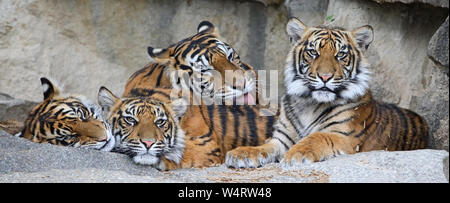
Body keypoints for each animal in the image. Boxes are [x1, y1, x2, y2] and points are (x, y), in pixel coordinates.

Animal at [225, 17, 428, 169]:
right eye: (313, 52)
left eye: (340, 55)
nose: (325, 76)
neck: (309, 103)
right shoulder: (282, 138)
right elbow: (264, 146)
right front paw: (241, 153)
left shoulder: (344, 136)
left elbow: (317, 136)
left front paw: (296, 154)